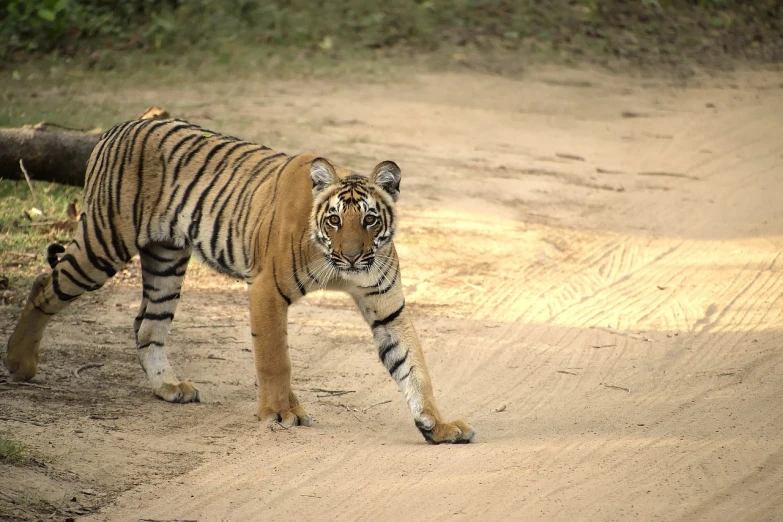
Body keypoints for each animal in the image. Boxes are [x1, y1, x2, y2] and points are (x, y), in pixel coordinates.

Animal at [3, 118, 474, 442]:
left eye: (371, 220)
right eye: (335, 219)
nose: (354, 256)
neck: (336, 265)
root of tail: (115, 128)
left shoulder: (387, 306)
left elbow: (413, 365)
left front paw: (438, 425)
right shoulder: (267, 289)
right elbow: (275, 359)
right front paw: (279, 413)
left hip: (166, 262)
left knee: (147, 326)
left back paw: (170, 387)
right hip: (104, 242)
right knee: (43, 285)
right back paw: (19, 363)